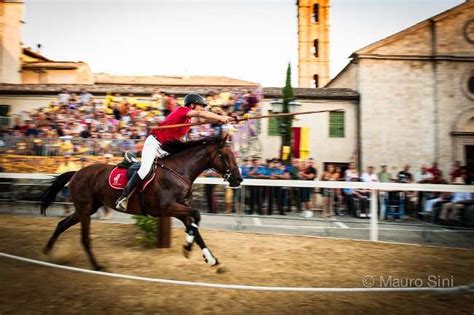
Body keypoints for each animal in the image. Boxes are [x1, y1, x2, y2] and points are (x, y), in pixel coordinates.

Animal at [39, 136, 243, 272]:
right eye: (225, 156)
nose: (238, 179)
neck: (178, 172)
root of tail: (76, 173)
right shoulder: (168, 208)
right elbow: (197, 216)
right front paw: (187, 248)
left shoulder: (180, 210)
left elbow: (195, 229)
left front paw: (211, 259)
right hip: (85, 208)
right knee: (84, 238)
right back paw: (96, 266)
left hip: (87, 208)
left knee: (62, 224)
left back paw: (47, 252)